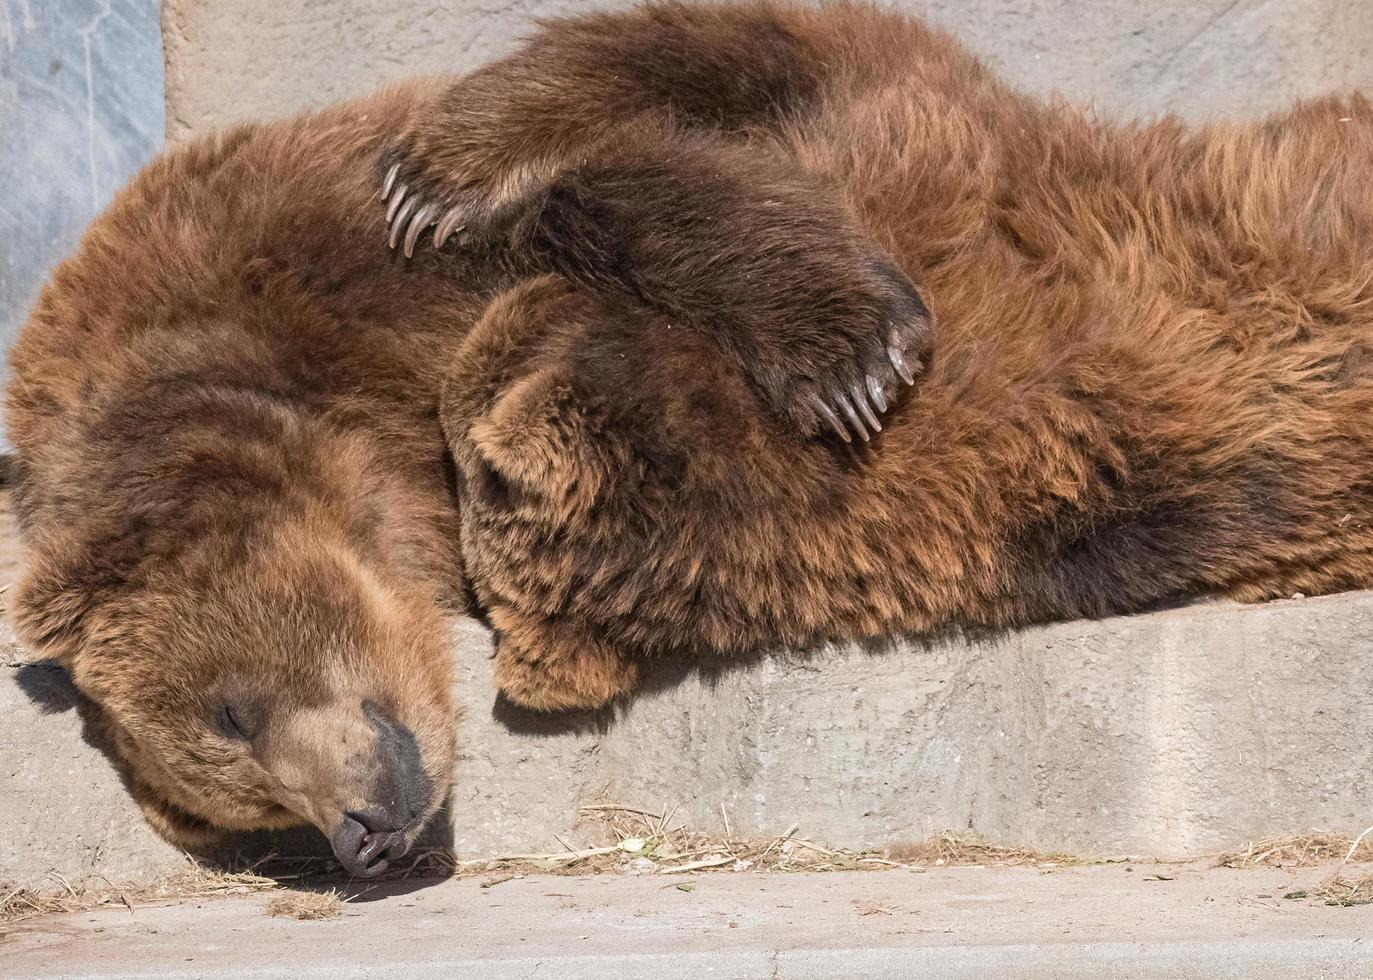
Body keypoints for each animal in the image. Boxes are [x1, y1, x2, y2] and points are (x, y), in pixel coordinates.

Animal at [8, 0, 1373, 872]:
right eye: (243, 816)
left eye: (232, 711)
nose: (359, 834)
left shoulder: (295, 259)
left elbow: (618, 177)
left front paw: (847, 347)